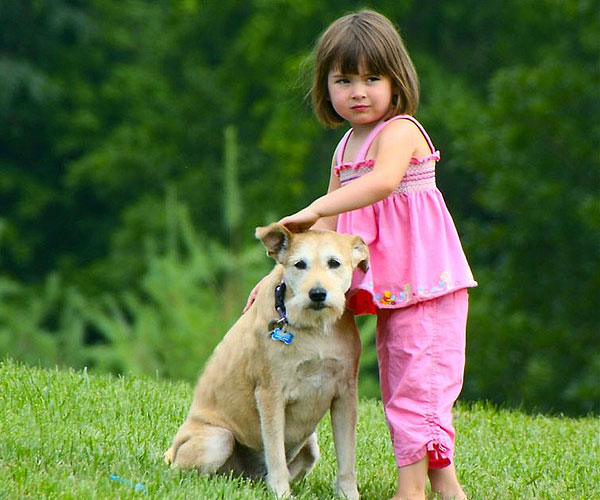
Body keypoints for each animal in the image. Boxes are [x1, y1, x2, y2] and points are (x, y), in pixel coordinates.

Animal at [165, 225, 370, 498]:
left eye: (334, 263)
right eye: (299, 264)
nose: (317, 294)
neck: (315, 330)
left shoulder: (345, 394)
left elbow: (347, 458)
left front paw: (349, 494)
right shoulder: (270, 393)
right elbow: (275, 454)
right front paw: (282, 493)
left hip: (311, 446)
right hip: (217, 439)